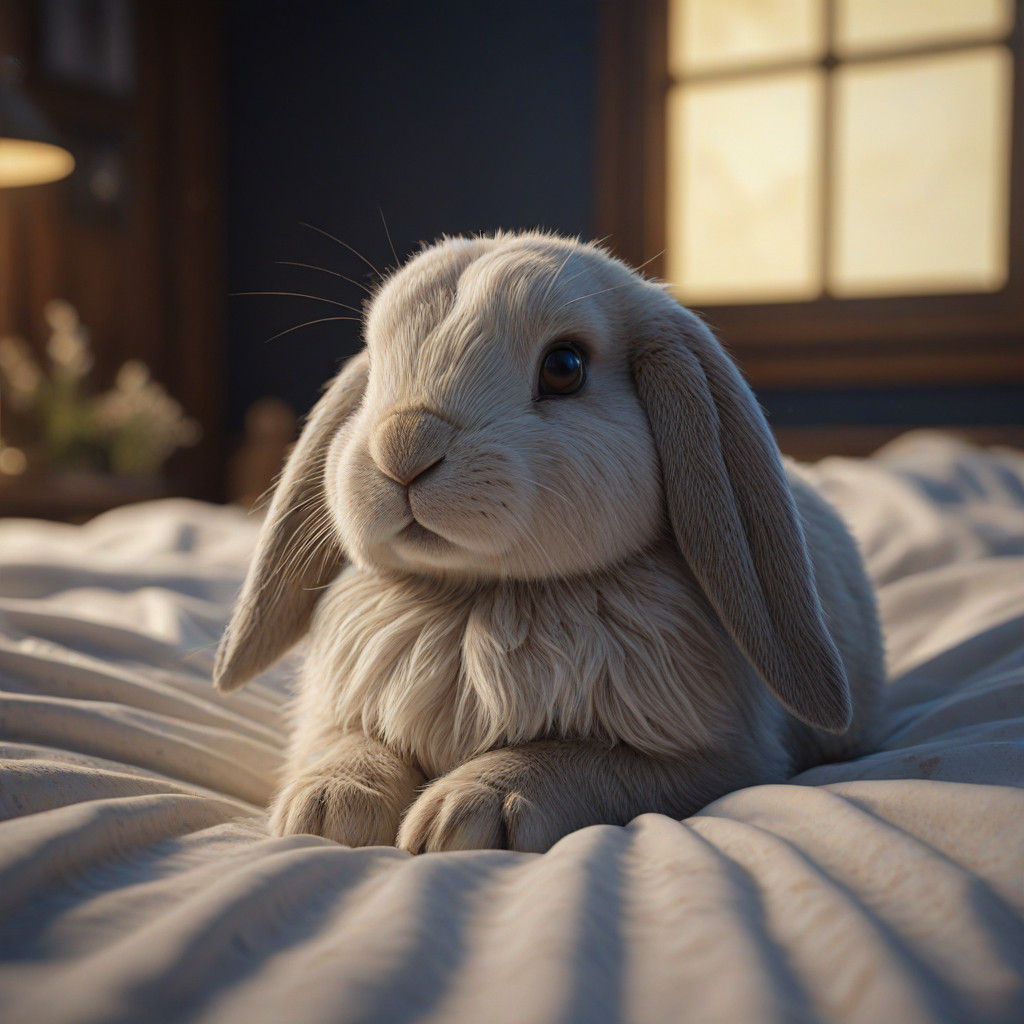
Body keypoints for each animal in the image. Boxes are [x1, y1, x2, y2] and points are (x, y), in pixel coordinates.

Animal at [214, 231, 885, 854]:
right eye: (374, 366)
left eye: (565, 366)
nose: (402, 446)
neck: (481, 599)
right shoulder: (336, 713)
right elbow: (348, 743)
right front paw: (327, 804)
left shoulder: (709, 764)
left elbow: (581, 764)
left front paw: (467, 813)